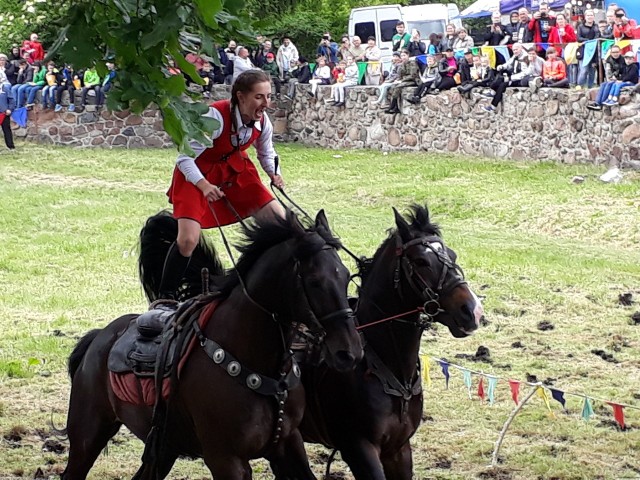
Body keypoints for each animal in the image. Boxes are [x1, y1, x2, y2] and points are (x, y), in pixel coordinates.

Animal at [65, 210, 364, 480]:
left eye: (346, 275)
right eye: (314, 281)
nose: (349, 352)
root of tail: (99, 338)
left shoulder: (288, 446)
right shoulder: (226, 460)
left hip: (162, 449)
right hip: (88, 436)